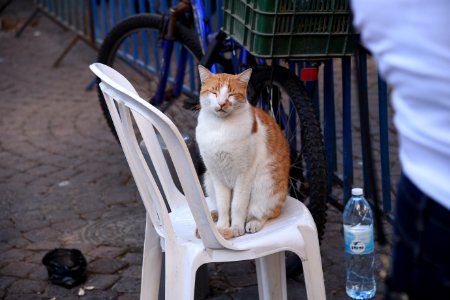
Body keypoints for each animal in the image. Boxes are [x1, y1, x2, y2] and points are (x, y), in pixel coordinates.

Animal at [195, 65, 290, 239]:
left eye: (231, 94)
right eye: (214, 92)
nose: (222, 103)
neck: (220, 128)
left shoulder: (244, 175)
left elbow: (238, 205)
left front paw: (236, 228)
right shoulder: (216, 175)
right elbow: (224, 205)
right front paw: (222, 227)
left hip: (264, 184)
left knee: (267, 212)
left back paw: (253, 222)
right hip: (208, 180)